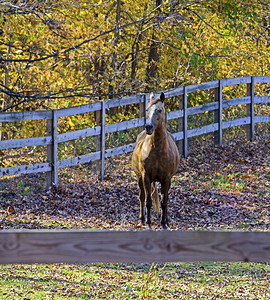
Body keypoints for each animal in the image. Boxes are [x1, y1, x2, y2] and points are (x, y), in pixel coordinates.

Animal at [131, 92, 179, 229]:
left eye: (159, 110)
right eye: (147, 109)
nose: (149, 127)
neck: (157, 149)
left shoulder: (167, 179)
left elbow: (164, 202)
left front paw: (164, 224)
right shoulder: (146, 177)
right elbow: (148, 201)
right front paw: (148, 224)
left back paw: (166, 220)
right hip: (140, 178)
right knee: (142, 197)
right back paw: (142, 220)